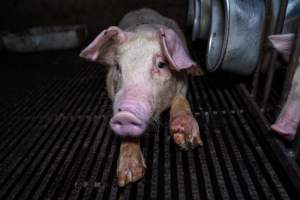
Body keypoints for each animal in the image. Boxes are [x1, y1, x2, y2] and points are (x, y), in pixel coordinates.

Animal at [79, 8, 204, 187]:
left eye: (161, 64)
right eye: (118, 67)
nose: (126, 114)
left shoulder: (182, 81)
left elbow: (180, 99)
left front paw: (186, 138)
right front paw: (129, 176)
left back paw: (199, 71)